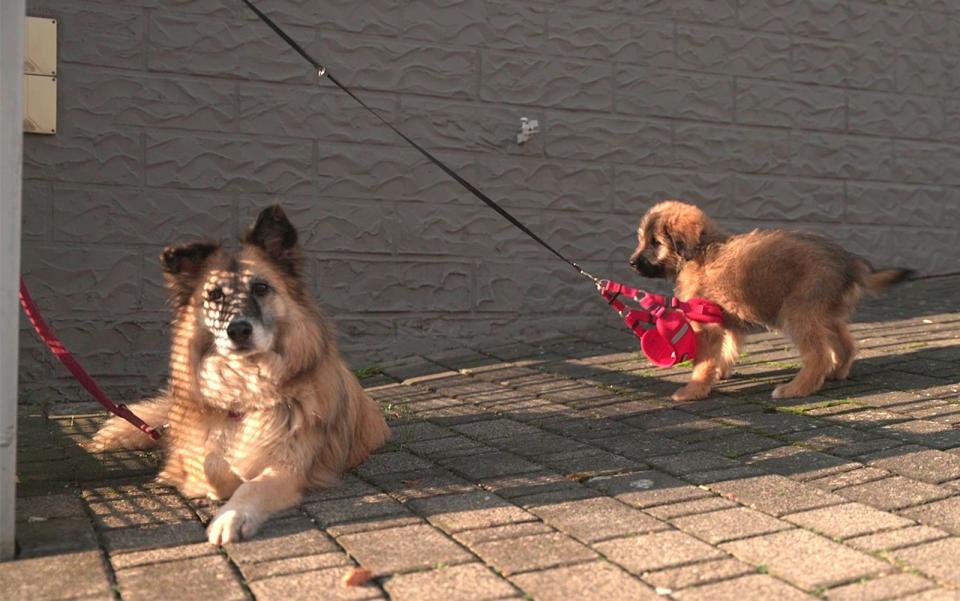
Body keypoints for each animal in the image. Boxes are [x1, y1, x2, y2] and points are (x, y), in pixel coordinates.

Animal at [90, 205, 390, 544]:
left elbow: (253, 485)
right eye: (214, 295)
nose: (238, 331)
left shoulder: (290, 467)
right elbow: (212, 467)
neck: (246, 383)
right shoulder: (191, 452)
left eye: (261, 288)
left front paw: (231, 516)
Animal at [632, 202, 908, 404]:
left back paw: (796, 388)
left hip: (798, 311)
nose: (632, 263)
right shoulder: (727, 321)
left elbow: (704, 360)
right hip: (825, 313)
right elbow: (727, 349)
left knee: (819, 355)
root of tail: (847, 260)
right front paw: (719, 372)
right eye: (642, 239)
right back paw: (834, 373)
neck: (699, 251)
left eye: (656, 242)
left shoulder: (706, 324)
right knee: (846, 345)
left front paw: (694, 389)